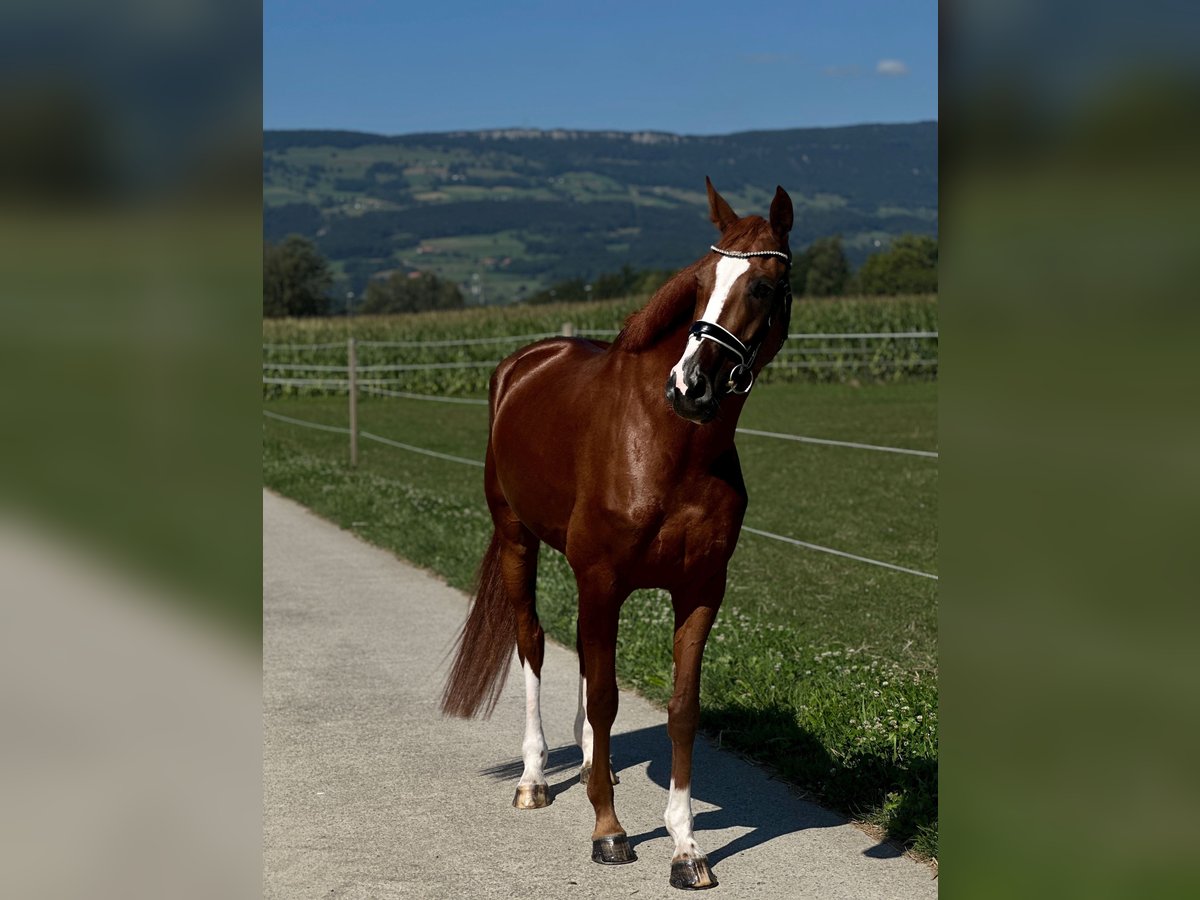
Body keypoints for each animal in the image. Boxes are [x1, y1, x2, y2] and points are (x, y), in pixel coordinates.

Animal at [446, 180, 792, 892]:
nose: (690, 387)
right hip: (518, 542)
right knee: (533, 644)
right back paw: (535, 779)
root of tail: (524, 361)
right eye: (700, 282)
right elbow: (605, 696)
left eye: (763, 286)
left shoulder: (699, 591)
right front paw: (608, 830)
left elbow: (681, 710)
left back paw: (588, 765)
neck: (671, 445)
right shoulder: (603, 579)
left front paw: (686, 848)